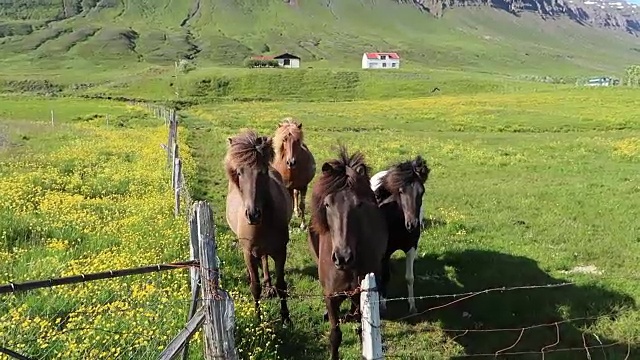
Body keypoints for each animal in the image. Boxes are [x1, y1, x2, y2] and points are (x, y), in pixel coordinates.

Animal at [225, 128, 292, 324]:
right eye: (239, 173)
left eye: (262, 172)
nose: (253, 214)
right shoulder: (248, 252)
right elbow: (255, 287)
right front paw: (259, 318)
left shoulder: (280, 251)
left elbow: (281, 284)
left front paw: (285, 317)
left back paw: (269, 285)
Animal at [308, 145, 388, 358]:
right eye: (327, 204)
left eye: (359, 205)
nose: (343, 257)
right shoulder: (331, 297)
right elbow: (335, 336)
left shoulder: (363, 292)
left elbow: (362, 330)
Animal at [370, 156, 430, 314]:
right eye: (401, 191)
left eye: (422, 192)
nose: (412, 224)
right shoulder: (385, 253)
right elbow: (384, 277)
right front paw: (383, 305)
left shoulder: (411, 248)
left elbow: (409, 278)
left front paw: (412, 306)